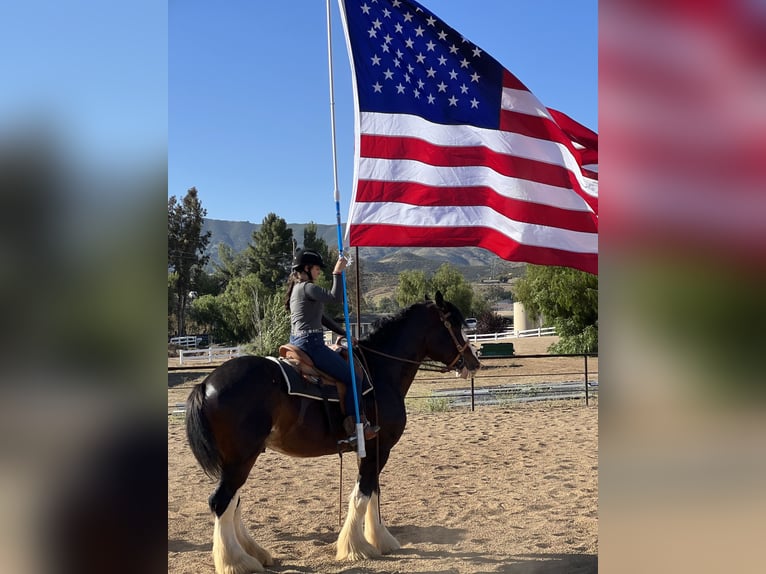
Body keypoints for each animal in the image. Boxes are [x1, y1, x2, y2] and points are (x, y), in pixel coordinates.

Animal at [185, 292, 480, 574]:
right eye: (453, 324)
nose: (474, 362)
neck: (379, 370)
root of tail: (206, 384)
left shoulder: (371, 448)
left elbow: (372, 492)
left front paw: (380, 540)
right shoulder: (381, 447)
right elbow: (363, 494)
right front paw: (356, 547)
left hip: (240, 460)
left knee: (232, 503)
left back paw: (255, 553)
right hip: (241, 459)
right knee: (221, 502)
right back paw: (236, 562)